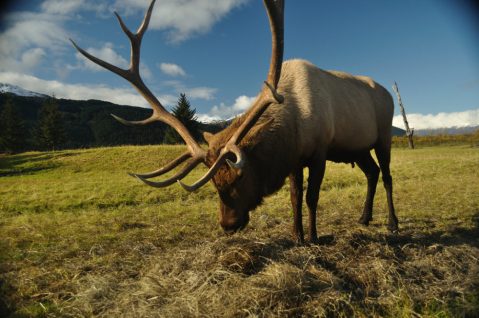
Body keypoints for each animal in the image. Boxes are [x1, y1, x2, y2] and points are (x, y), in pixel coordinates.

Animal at [71, 0, 400, 242]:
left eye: (240, 176)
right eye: (215, 182)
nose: (227, 225)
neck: (294, 122)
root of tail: (388, 92)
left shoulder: (319, 151)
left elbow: (311, 197)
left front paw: (315, 237)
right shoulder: (295, 159)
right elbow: (294, 197)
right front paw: (297, 237)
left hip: (384, 134)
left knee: (386, 175)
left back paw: (393, 223)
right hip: (357, 147)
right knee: (371, 172)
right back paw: (364, 217)